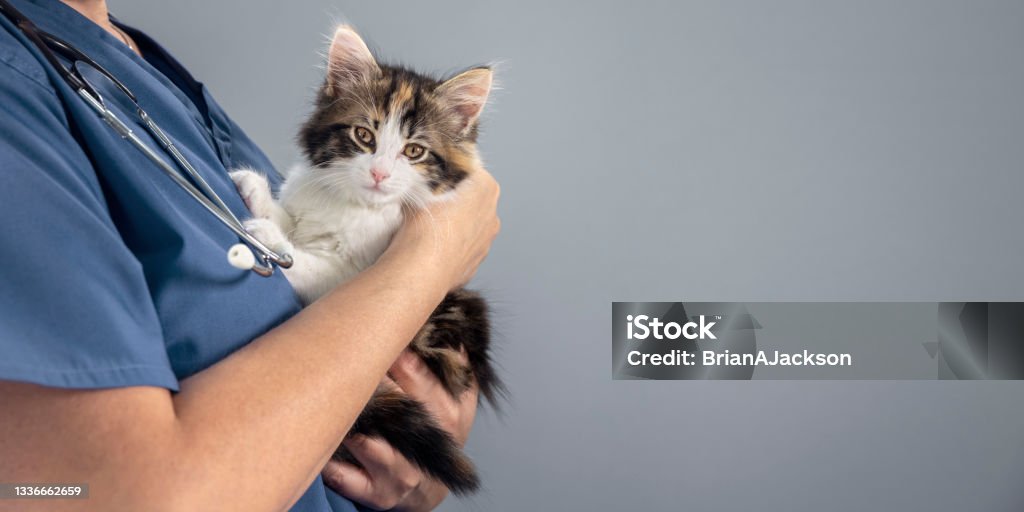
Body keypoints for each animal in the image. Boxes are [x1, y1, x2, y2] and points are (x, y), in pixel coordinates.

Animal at [233, 25, 503, 493]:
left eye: (414, 152)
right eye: (364, 136)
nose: (379, 174)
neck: (353, 205)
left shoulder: (353, 273)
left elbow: (312, 265)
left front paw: (272, 239)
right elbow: (293, 217)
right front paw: (260, 195)